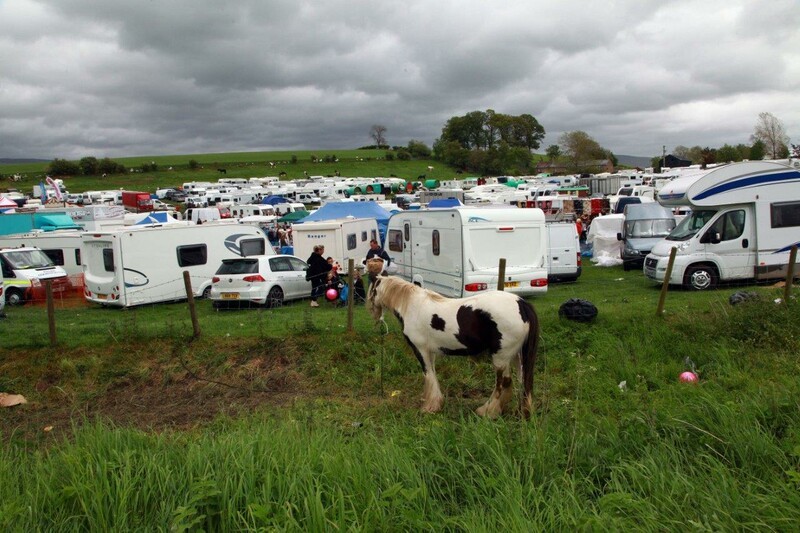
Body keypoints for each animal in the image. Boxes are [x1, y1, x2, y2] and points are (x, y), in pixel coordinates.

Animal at [368, 276, 540, 418]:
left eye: (373, 290)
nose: (372, 311)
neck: (411, 305)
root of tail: (521, 303)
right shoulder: (431, 353)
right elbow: (433, 374)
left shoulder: (421, 350)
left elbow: (428, 375)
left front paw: (430, 407)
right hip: (517, 356)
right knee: (521, 382)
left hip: (501, 357)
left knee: (503, 383)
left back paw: (487, 412)